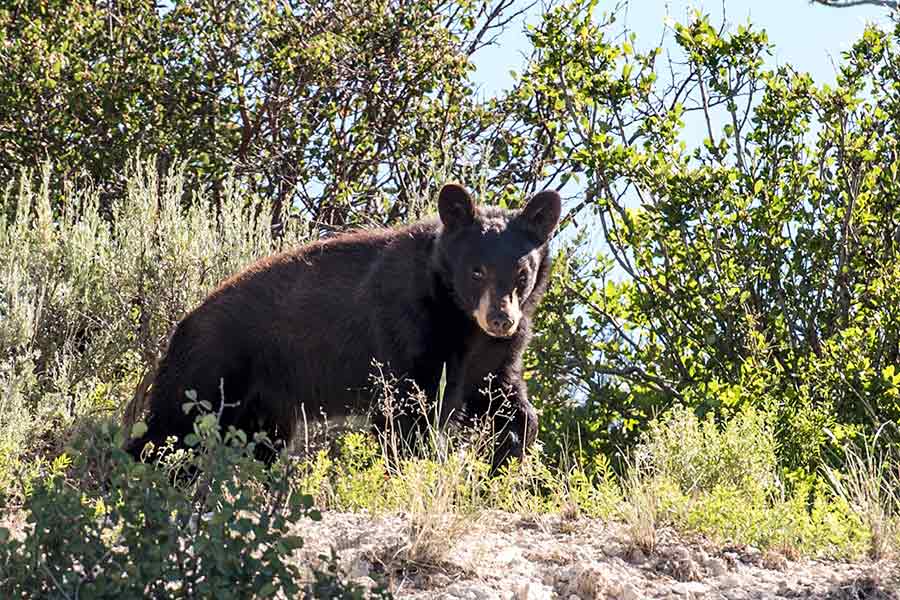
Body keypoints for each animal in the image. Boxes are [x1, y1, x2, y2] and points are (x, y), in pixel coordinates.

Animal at [125, 180, 564, 472]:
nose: (500, 319)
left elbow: (504, 400)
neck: (458, 316)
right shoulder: (409, 326)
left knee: (255, 443)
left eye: (521, 272)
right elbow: (407, 411)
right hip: (212, 369)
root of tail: (183, 324)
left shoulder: (494, 354)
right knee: (169, 429)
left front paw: (506, 461)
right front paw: (414, 470)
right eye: (476, 270)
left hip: (263, 404)